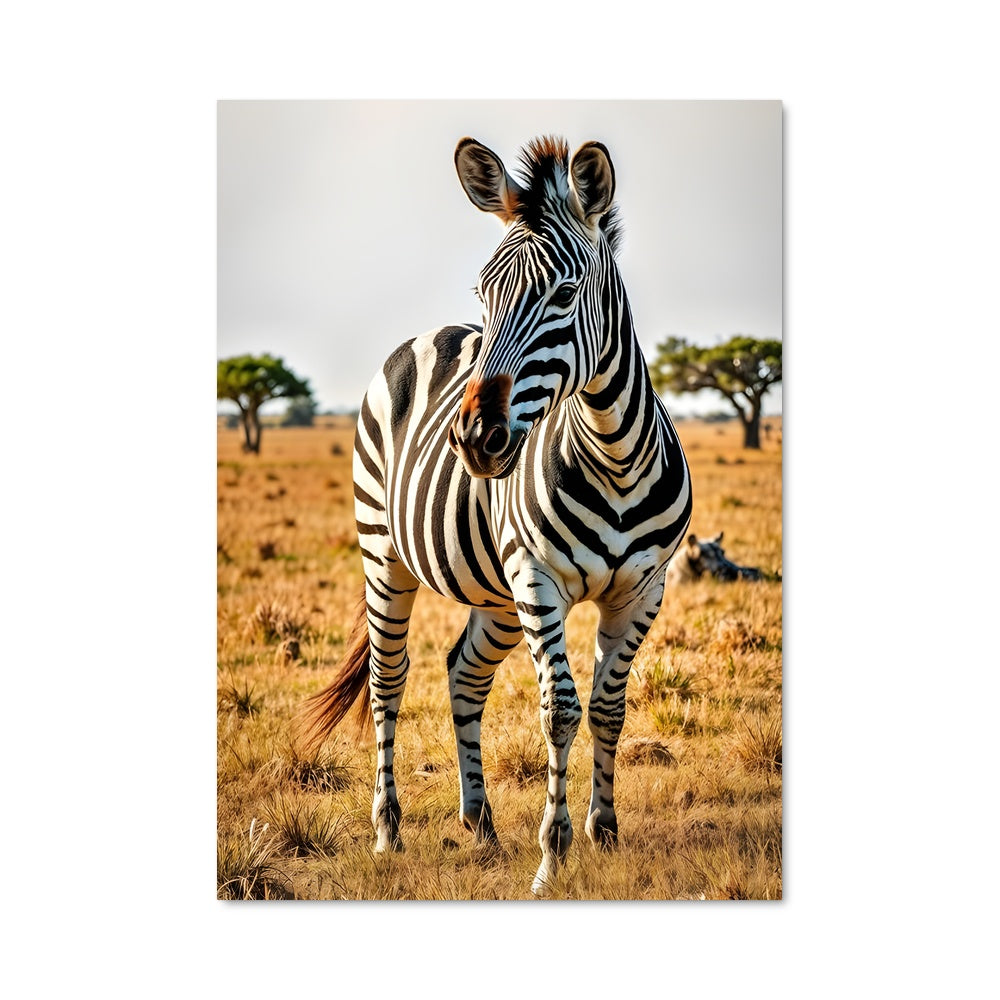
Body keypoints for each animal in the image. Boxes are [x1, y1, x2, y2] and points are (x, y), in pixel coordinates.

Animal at [298, 135, 693, 895]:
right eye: (486, 293)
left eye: (565, 294)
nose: (476, 439)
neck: (615, 454)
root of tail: (426, 334)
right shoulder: (539, 578)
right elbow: (560, 709)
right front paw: (552, 855)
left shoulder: (643, 589)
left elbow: (607, 706)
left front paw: (602, 833)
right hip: (384, 555)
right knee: (388, 681)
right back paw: (387, 832)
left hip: (497, 594)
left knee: (463, 671)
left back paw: (479, 823)